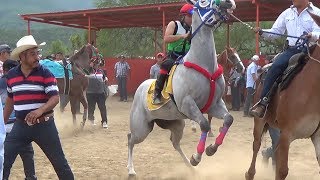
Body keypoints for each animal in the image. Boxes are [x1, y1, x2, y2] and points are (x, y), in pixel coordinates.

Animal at [127, 0, 242, 175]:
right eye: (203, 2)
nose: (230, 3)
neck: (205, 66)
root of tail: (141, 87)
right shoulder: (187, 104)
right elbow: (204, 124)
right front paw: (198, 155)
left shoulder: (215, 104)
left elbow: (228, 119)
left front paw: (210, 149)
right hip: (141, 128)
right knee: (130, 139)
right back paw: (131, 170)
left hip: (176, 124)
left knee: (175, 143)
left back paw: (190, 166)